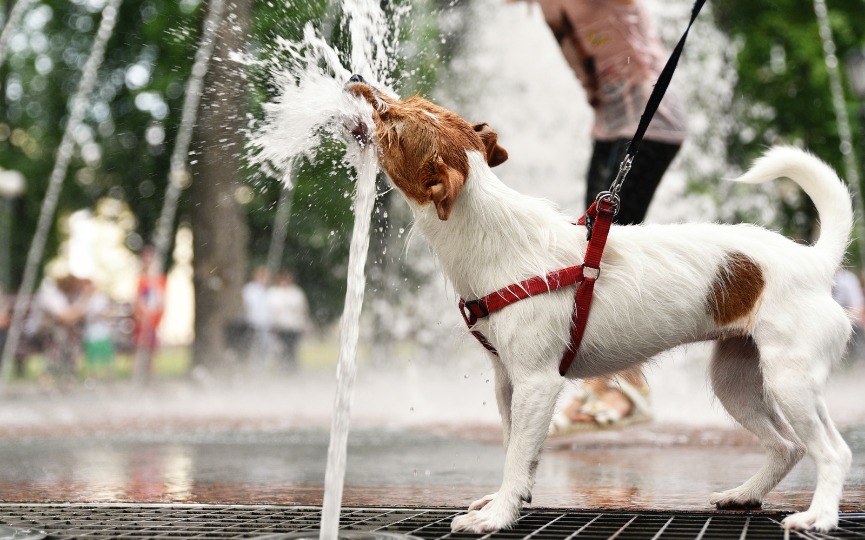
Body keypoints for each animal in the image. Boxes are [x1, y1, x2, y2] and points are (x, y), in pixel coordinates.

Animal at [342, 74, 852, 532]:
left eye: (393, 124)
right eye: (407, 102)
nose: (355, 79)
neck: (493, 234)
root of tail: (815, 261)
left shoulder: (538, 382)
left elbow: (518, 453)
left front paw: (499, 515)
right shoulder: (508, 382)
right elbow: (514, 449)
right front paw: (510, 499)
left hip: (790, 380)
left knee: (833, 451)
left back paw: (819, 517)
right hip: (737, 381)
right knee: (788, 446)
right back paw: (745, 494)